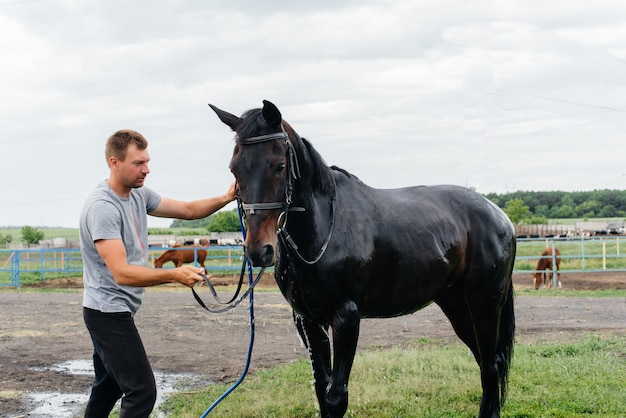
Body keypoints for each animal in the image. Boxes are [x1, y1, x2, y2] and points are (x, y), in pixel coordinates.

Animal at [208, 99, 512, 416]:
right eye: (234, 170)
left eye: (279, 166)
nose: (258, 250)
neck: (323, 230)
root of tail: (499, 215)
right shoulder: (308, 320)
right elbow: (321, 389)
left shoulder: (346, 316)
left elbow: (335, 396)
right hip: (456, 304)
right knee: (486, 360)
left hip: (484, 303)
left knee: (491, 363)